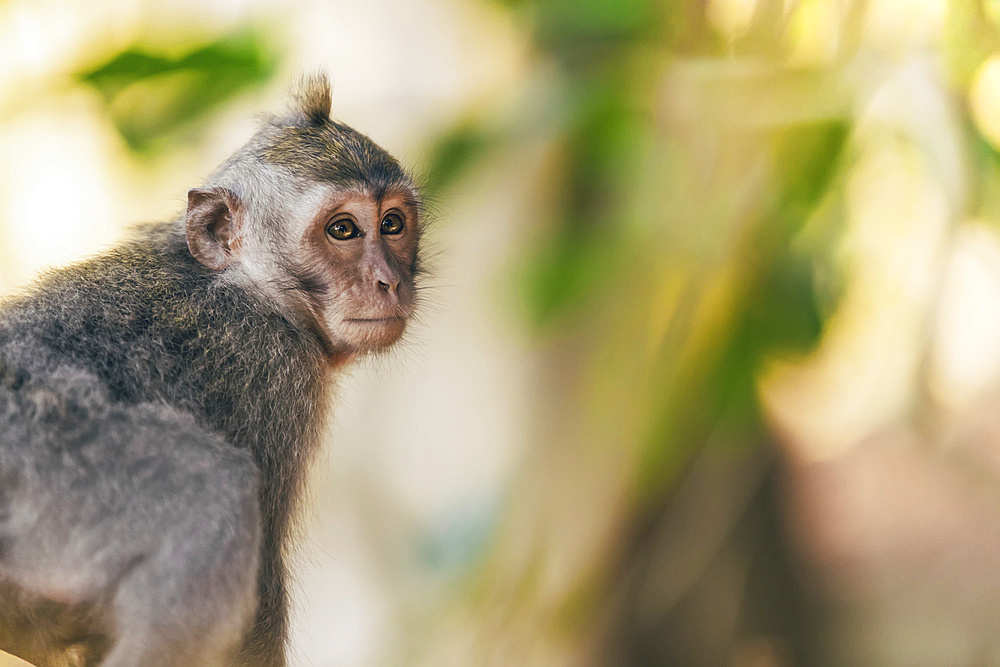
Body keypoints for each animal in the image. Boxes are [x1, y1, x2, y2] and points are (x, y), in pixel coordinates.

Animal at [0, 74, 420, 667]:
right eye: (343, 230)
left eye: (392, 224)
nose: (390, 281)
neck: (251, 288)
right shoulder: (275, 373)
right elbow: (259, 599)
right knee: (212, 491)